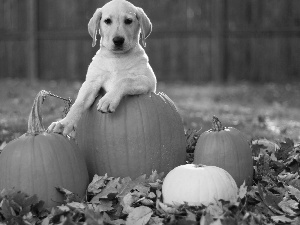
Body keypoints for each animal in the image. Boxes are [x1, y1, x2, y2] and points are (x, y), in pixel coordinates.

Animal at [47, 0, 157, 136]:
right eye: (107, 21)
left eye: (128, 21)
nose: (118, 40)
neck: (117, 58)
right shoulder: (92, 83)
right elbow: (79, 103)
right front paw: (64, 123)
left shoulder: (148, 81)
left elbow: (125, 80)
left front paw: (108, 100)